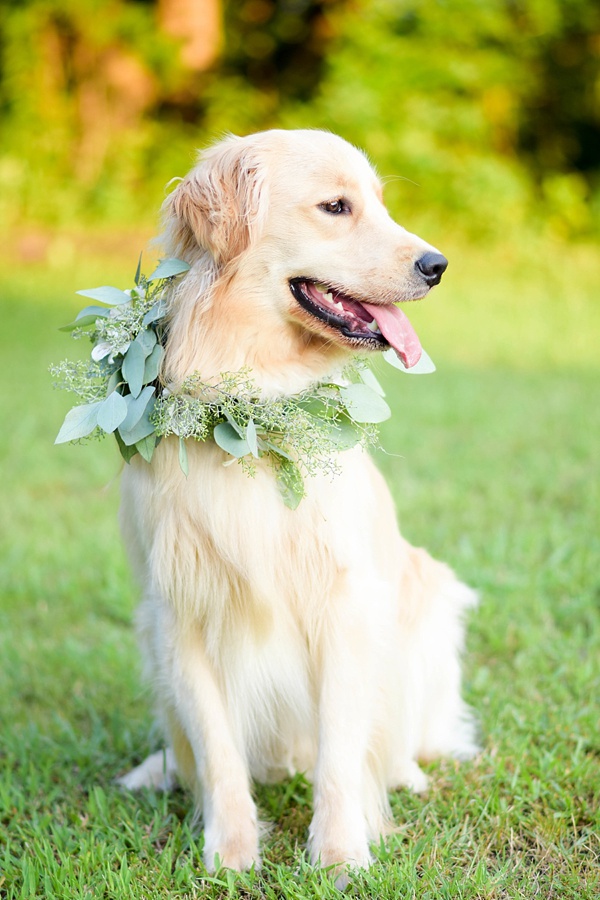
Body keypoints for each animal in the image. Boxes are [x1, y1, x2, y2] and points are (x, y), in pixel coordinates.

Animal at [118, 128, 478, 884]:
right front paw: (229, 854)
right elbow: (219, 753)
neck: (255, 402)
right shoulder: (180, 609)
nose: (437, 265)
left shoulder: (344, 602)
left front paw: (341, 854)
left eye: (379, 201)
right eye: (336, 207)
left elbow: (341, 751)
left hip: (427, 603)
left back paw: (407, 775)